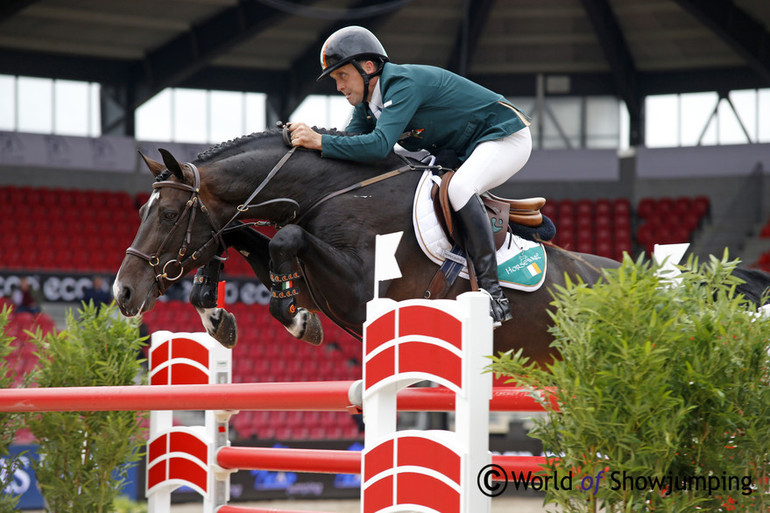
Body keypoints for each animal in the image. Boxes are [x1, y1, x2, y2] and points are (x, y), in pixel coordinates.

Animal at [109, 128, 760, 368]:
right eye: (140, 212)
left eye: (169, 213)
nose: (122, 293)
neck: (330, 192)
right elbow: (244, 236)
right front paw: (217, 311)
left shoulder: (369, 291)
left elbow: (284, 240)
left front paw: (291, 318)